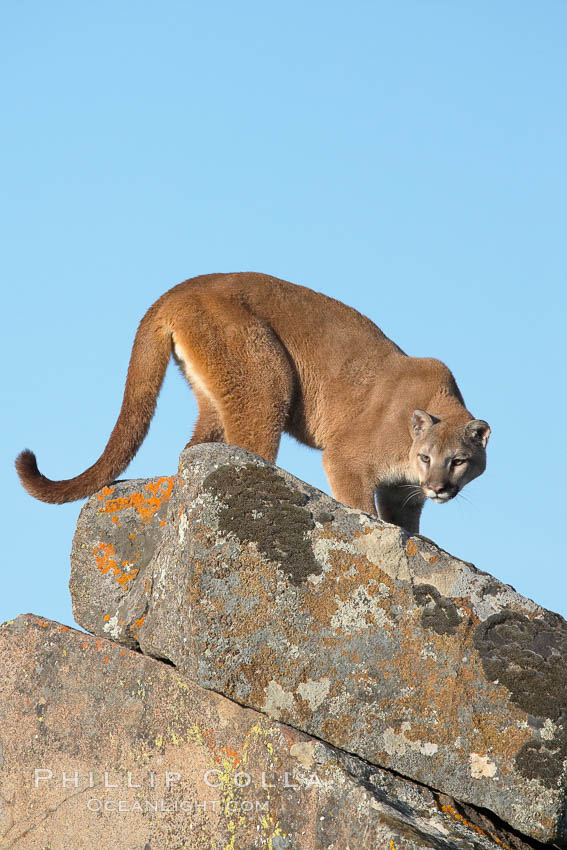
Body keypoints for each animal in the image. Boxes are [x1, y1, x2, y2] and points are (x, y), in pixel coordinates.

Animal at [15, 270, 490, 528]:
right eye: (427, 457)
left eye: (458, 461)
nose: (438, 487)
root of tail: (179, 289)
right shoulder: (347, 459)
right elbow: (359, 506)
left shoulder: (401, 493)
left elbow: (408, 523)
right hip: (266, 381)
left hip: (216, 397)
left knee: (193, 452)